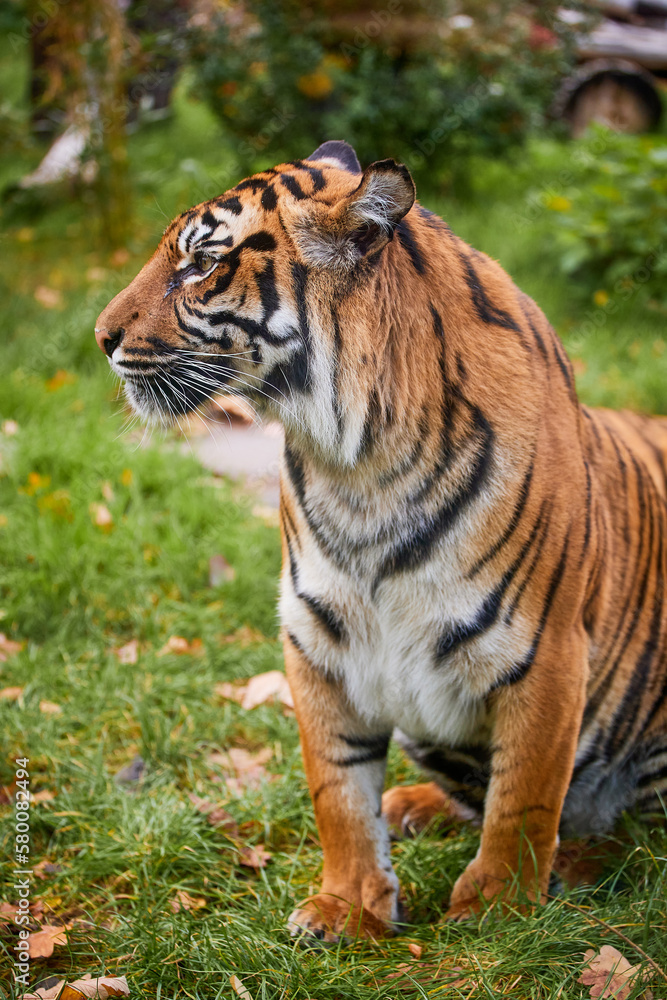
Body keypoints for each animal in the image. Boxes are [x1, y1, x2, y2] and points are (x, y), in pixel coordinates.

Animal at [95, 139, 667, 942]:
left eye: (202, 263)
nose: (100, 338)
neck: (355, 466)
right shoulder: (317, 641)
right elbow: (337, 791)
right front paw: (347, 903)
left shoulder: (546, 651)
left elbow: (523, 797)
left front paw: (499, 912)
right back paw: (412, 807)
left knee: (631, 832)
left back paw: (582, 864)